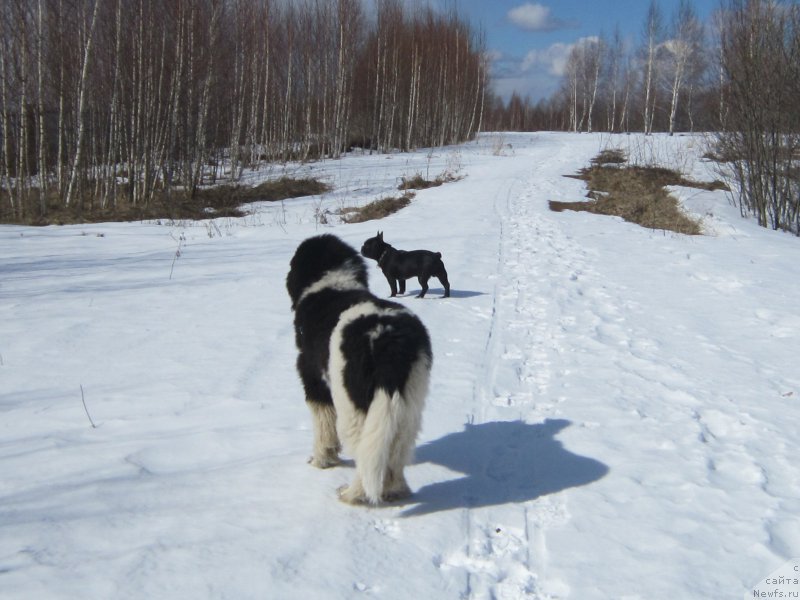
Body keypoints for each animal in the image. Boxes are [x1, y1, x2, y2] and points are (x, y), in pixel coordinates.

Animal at [282, 234, 432, 506]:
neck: (333, 284)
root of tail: (386, 337)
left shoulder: (313, 379)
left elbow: (323, 424)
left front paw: (321, 460)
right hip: (409, 401)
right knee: (394, 449)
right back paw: (395, 491)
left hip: (352, 403)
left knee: (365, 451)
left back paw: (353, 495)